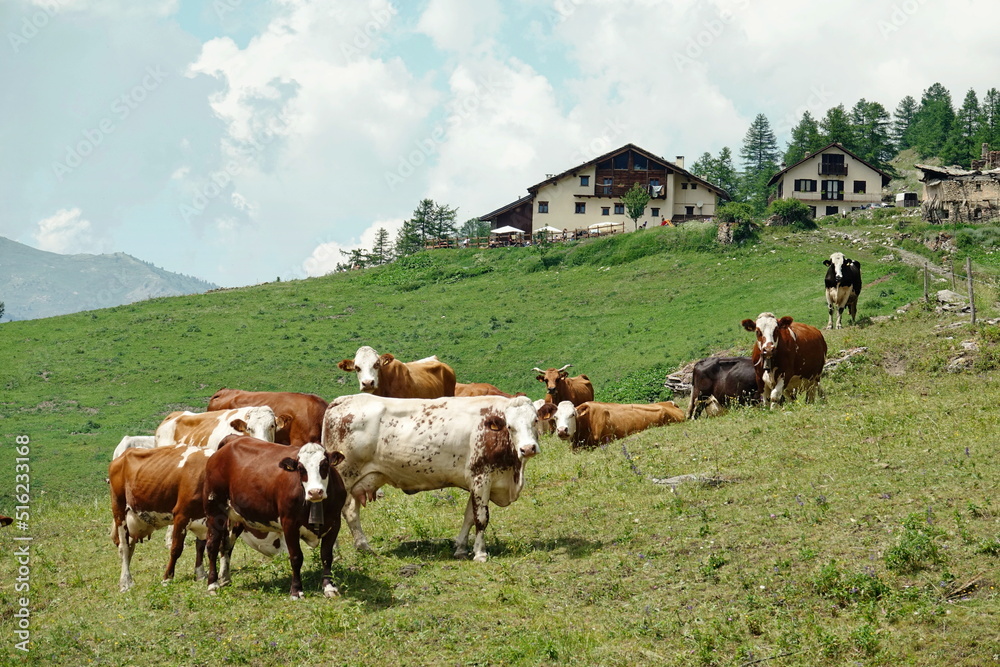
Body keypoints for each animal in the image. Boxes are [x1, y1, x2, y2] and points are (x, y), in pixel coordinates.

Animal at [109, 444, 212, 592]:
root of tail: (123, 455)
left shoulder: (203, 520)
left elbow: (201, 546)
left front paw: (200, 573)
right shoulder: (181, 515)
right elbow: (176, 549)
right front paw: (167, 578)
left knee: (129, 547)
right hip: (119, 508)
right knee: (124, 547)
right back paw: (125, 582)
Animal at [203, 436, 346, 600]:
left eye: (324, 465)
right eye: (300, 468)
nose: (315, 492)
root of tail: (232, 440)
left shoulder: (335, 522)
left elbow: (327, 556)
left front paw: (329, 587)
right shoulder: (289, 523)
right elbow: (296, 557)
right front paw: (296, 590)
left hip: (238, 516)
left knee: (227, 544)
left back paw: (225, 578)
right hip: (214, 512)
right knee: (212, 545)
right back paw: (212, 584)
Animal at [322, 394, 543, 562]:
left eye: (535, 421)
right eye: (510, 426)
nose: (528, 448)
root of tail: (342, 400)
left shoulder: (475, 482)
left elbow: (469, 516)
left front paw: (461, 548)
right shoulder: (481, 478)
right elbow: (481, 518)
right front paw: (480, 553)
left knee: (351, 512)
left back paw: (363, 547)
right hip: (344, 476)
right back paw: (334, 552)